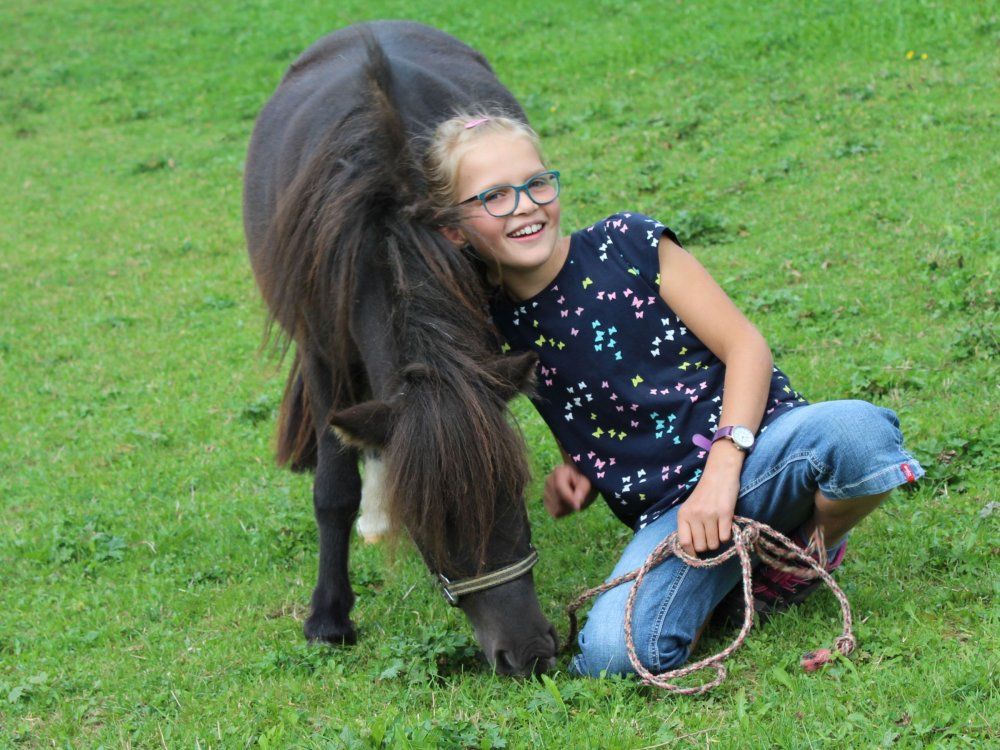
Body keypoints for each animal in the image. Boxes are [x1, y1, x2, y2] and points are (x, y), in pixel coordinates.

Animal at [242, 20, 558, 676]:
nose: (531, 655)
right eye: (434, 522)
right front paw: (329, 618)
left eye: (513, 491)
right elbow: (334, 491)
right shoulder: (323, 358)